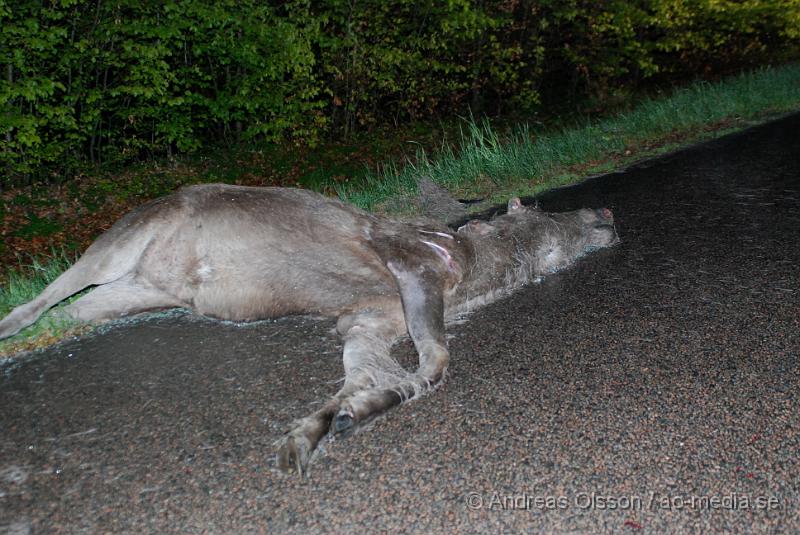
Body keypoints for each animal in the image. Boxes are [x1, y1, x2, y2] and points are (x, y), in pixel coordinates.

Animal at [0, 183, 620, 474]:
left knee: (68, 309)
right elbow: (438, 357)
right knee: (45, 296)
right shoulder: (409, 262)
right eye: (546, 216)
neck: (469, 272)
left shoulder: (365, 320)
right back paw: (11, 320)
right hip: (123, 241)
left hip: (133, 292)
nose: (607, 214)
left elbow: (375, 376)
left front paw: (327, 425)